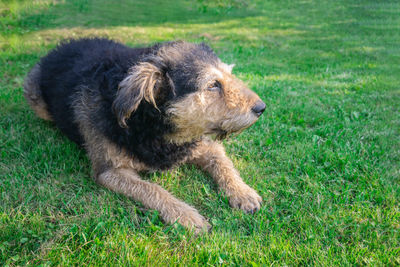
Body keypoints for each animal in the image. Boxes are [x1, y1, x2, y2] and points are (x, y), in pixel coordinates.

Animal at [24, 38, 266, 234]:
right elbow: (151, 189)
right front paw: (186, 216)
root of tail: (60, 47)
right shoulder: (109, 170)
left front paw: (242, 192)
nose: (261, 108)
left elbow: (223, 162)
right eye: (213, 85)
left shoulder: (202, 143)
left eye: (229, 75)